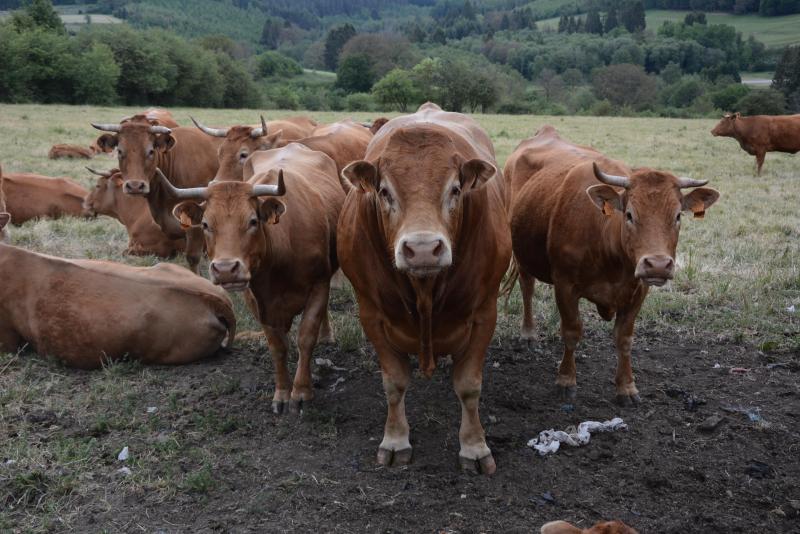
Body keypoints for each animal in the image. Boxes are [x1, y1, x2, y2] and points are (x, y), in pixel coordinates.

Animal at [166, 141, 344, 414]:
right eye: (205, 224)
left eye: (252, 221)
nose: (226, 269)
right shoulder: (257, 301)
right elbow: (277, 346)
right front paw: (282, 394)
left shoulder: (319, 284)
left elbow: (306, 337)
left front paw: (301, 392)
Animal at [334, 102, 510, 476]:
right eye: (384, 191)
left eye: (455, 189)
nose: (424, 248)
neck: (425, 289)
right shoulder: (371, 314)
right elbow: (394, 382)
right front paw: (395, 440)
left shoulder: (485, 312)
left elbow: (469, 386)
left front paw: (474, 446)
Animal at [506, 126, 720, 406]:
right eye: (629, 214)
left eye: (677, 216)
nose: (658, 265)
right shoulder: (565, 285)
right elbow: (572, 331)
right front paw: (566, 380)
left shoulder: (638, 290)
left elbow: (624, 339)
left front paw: (626, 387)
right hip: (522, 256)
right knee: (527, 287)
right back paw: (529, 334)